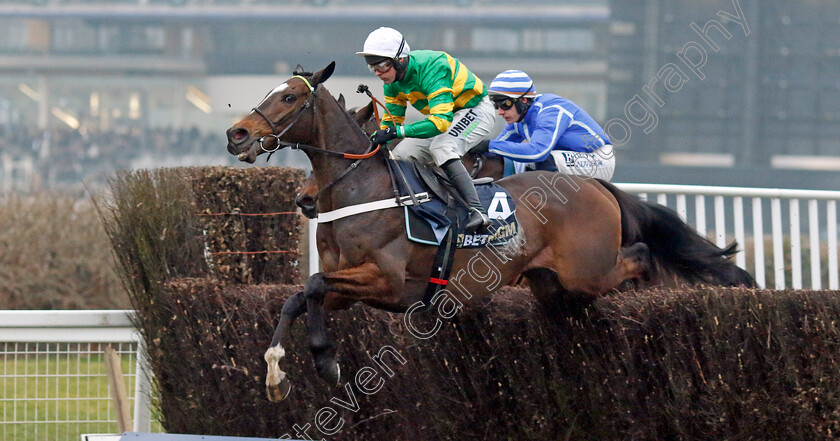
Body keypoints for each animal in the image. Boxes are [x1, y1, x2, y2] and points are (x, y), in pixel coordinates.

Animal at [226, 62, 660, 402]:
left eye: (288, 97)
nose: (236, 135)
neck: (364, 189)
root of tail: (593, 184)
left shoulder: (387, 281)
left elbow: (313, 284)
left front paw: (325, 360)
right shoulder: (346, 289)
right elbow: (299, 296)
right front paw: (276, 374)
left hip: (586, 271)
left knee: (640, 254)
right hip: (552, 284)